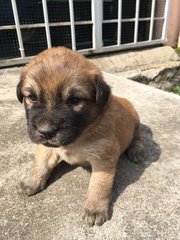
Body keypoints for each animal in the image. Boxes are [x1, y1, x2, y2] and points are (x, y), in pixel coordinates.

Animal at [16, 47, 146, 227]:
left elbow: (99, 185)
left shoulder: (103, 158)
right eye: (32, 97)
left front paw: (95, 209)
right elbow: (40, 165)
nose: (46, 132)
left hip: (135, 122)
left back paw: (137, 151)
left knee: (138, 138)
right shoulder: (46, 147)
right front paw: (32, 182)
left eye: (74, 100)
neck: (79, 136)